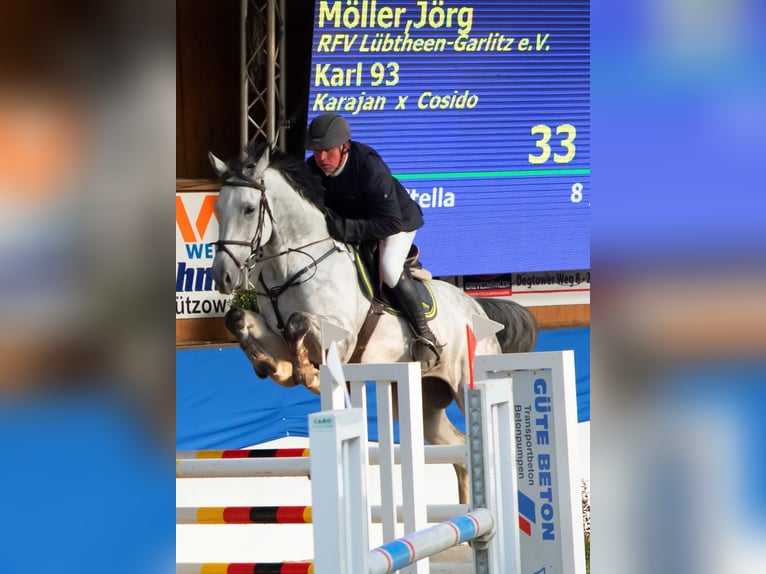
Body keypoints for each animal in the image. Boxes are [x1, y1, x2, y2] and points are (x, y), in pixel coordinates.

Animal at [208, 141, 537, 504]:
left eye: (249, 209)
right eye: (218, 209)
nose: (223, 277)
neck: (292, 267)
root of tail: (476, 308)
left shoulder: (340, 336)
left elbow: (297, 323)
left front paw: (305, 373)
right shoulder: (275, 334)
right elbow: (239, 318)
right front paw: (274, 367)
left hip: (468, 382)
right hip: (423, 403)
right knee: (461, 450)